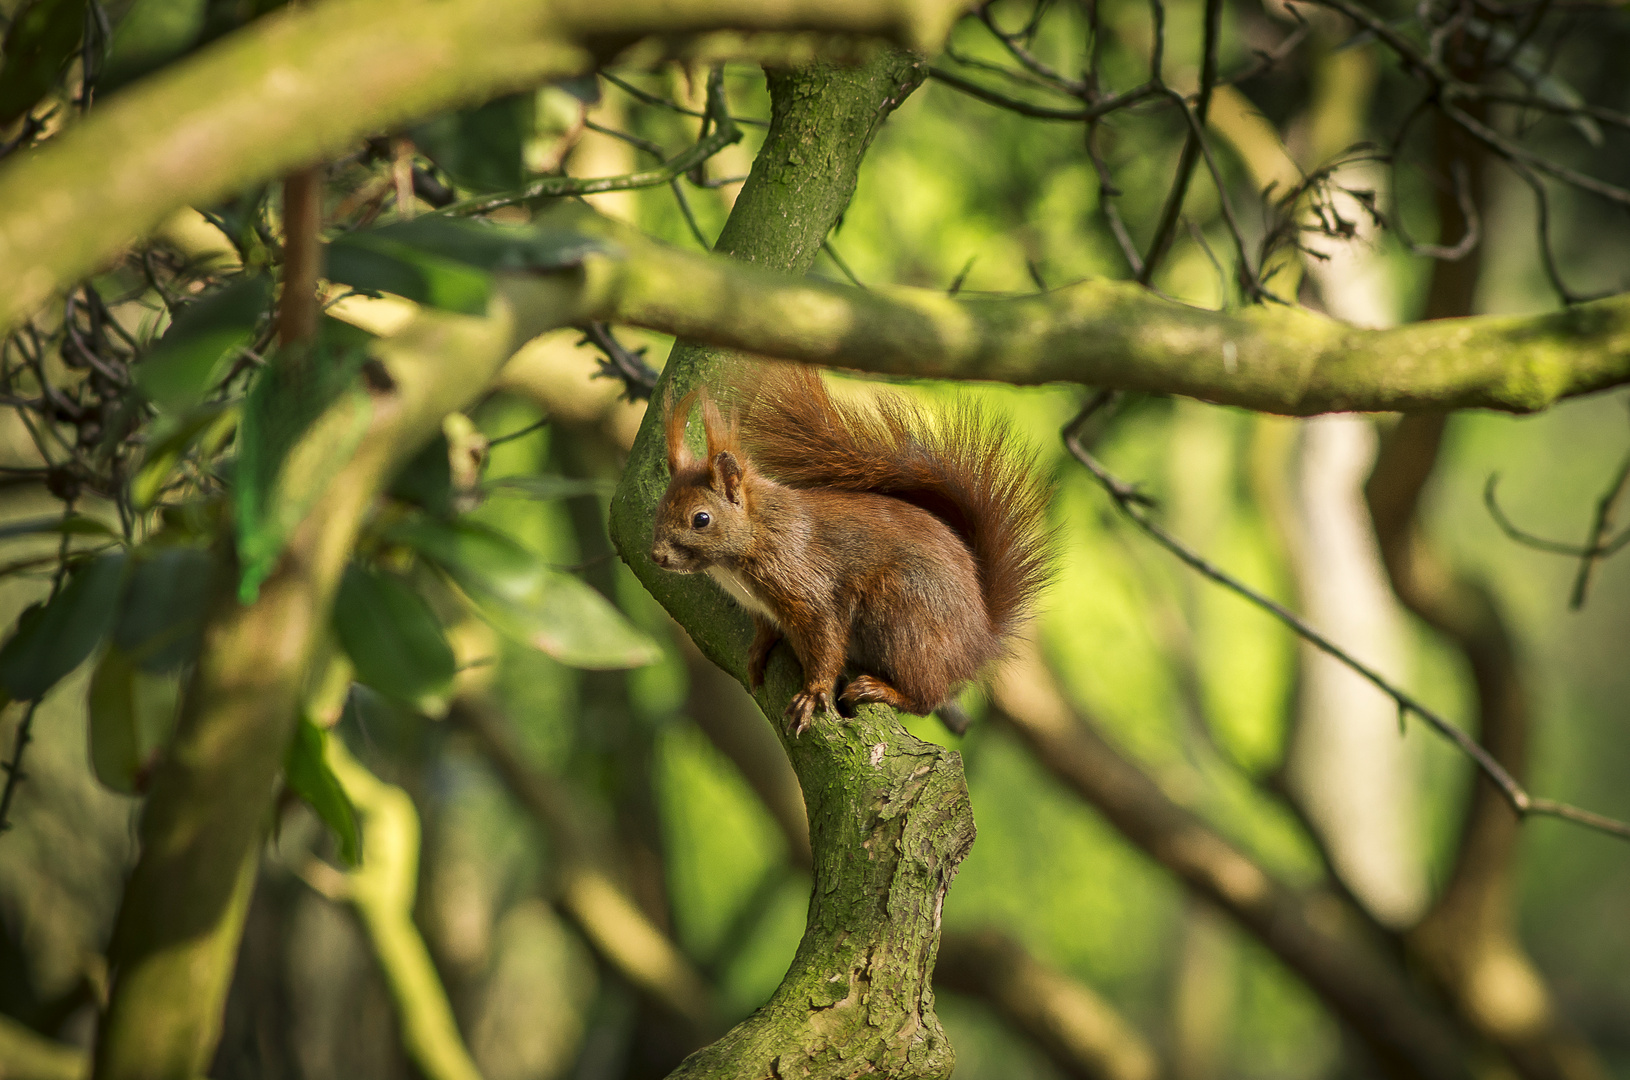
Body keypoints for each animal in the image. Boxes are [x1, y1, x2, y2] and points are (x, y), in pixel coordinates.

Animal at [642, 364, 1049, 736]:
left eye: (701, 519)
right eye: (660, 506)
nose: (657, 556)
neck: (756, 537)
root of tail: (980, 640)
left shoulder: (808, 586)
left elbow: (826, 642)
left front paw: (813, 694)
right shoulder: (761, 606)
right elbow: (765, 629)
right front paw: (758, 652)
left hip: (903, 615)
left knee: (928, 697)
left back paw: (882, 690)